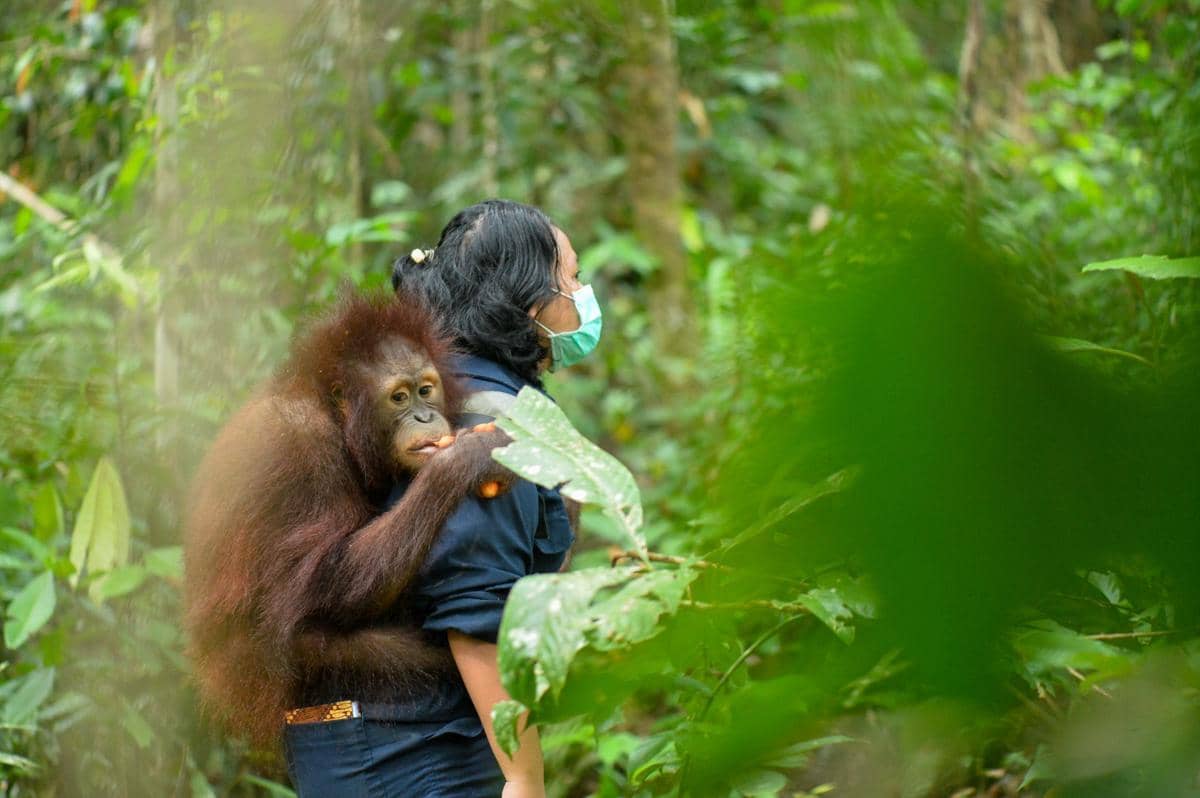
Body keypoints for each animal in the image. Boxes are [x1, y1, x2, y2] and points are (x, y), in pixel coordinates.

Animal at [182, 290, 514, 744]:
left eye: (426, 390)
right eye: (399, 398)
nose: (425, 417)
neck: (334, 416)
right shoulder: (301, 448)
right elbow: (312, 580)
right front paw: (462, 460)